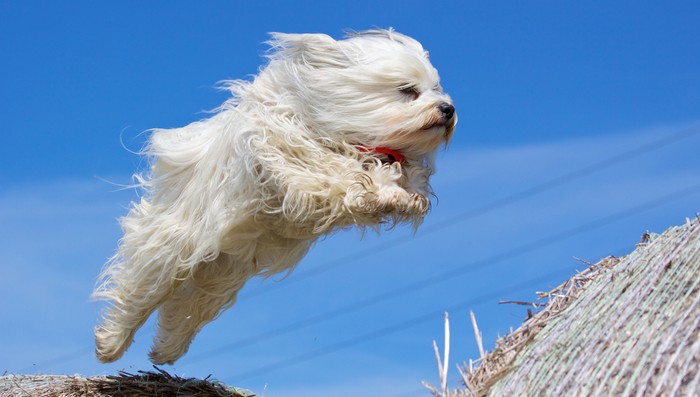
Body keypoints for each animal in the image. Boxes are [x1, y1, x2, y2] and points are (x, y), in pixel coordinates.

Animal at [91, 27, 454, 364]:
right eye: (407, 90)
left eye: (436, 88)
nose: (448, 108)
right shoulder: (288, 154)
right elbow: (336, 172)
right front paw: (381, 188)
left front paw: (406, 194)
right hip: (175, 245)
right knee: (142, 290)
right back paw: (110, 343)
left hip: (221, 271)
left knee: (188, 307)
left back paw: (165, 349)